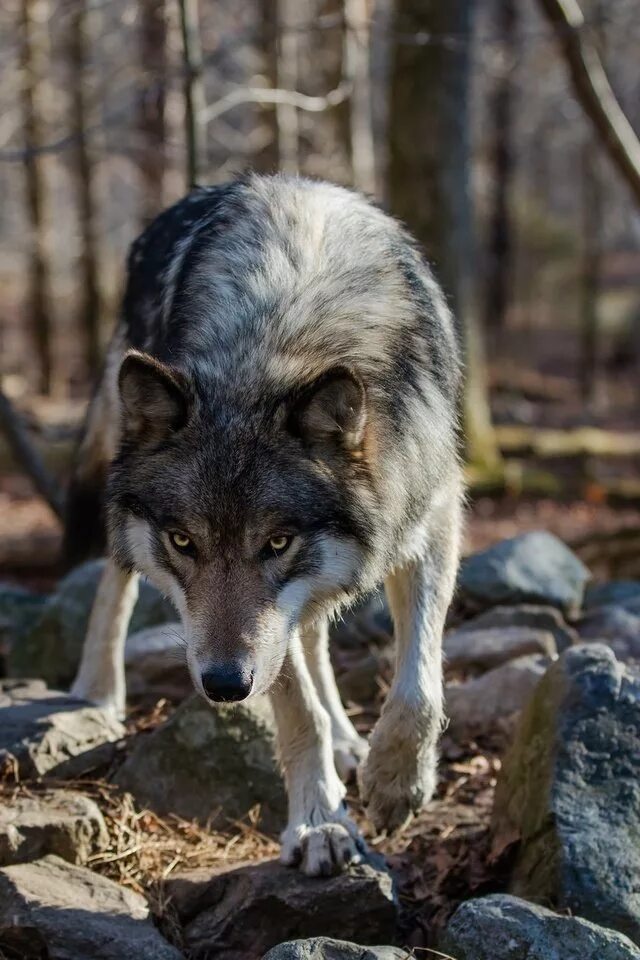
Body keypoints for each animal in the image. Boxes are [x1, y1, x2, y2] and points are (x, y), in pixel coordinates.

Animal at [66, 169, 464, 872]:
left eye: (276, 542)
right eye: (182, 541)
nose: (224, 685)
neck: (284, 342)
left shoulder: (433, 516)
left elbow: (418, 686)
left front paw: (395, 784)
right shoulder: (256, 638)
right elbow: (297, 707)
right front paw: (320, 822)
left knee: (314, 633)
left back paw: (351, 743)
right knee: (115, 579)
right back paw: (98, 690)